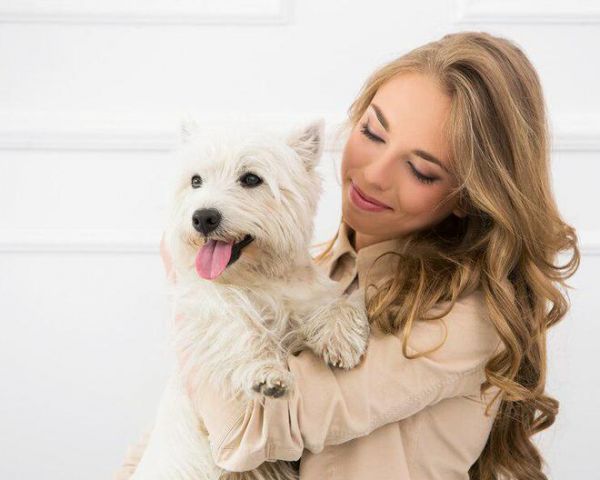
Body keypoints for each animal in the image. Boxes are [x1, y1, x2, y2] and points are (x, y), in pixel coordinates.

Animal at [129, 117, 370, 480]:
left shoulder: (307, 299)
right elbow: (238, 328)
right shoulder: (206, 308)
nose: (203, 217)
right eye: (195, 180)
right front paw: (267, 375)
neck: (257, 279)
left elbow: (338, 302)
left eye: (251, 179)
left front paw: (339, 340)